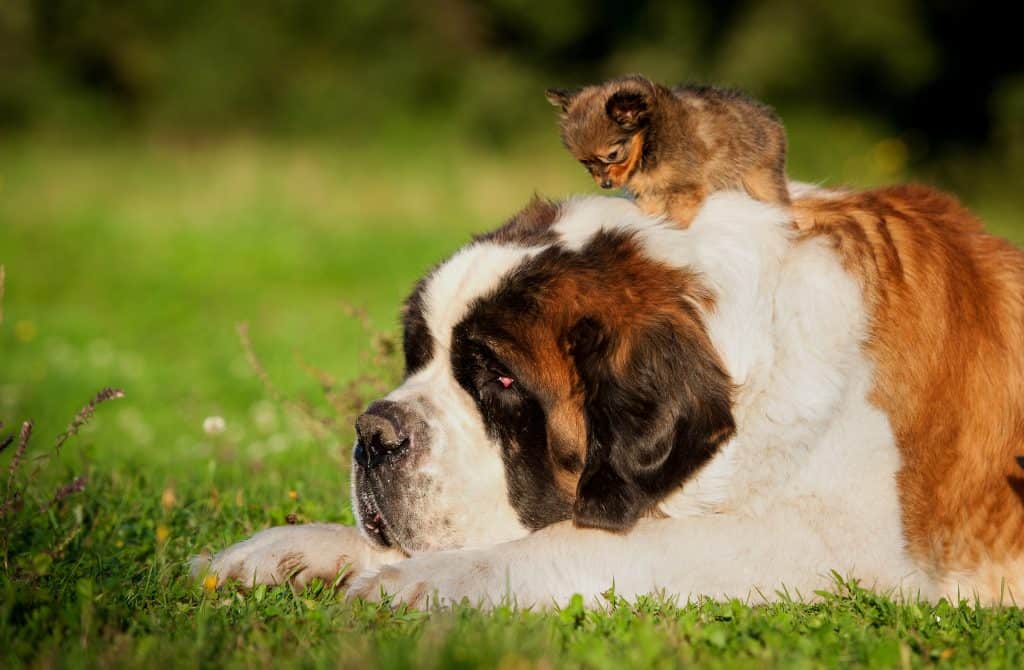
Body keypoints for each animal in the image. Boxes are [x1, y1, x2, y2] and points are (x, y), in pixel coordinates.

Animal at [197, 182, 1024, 610]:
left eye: (500, 380)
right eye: (418, 355)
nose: (374, 434)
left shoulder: (839, 545)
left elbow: (577, 540)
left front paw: (416, 583)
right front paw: (285, 551)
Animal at [548, 75, 786, 228]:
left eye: (612, 155)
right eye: (585, 163)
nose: (605, 184)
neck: (647, 146)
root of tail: (769, 118)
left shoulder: (685, 189)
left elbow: (676, 219)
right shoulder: (649, 194)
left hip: (760, 179)